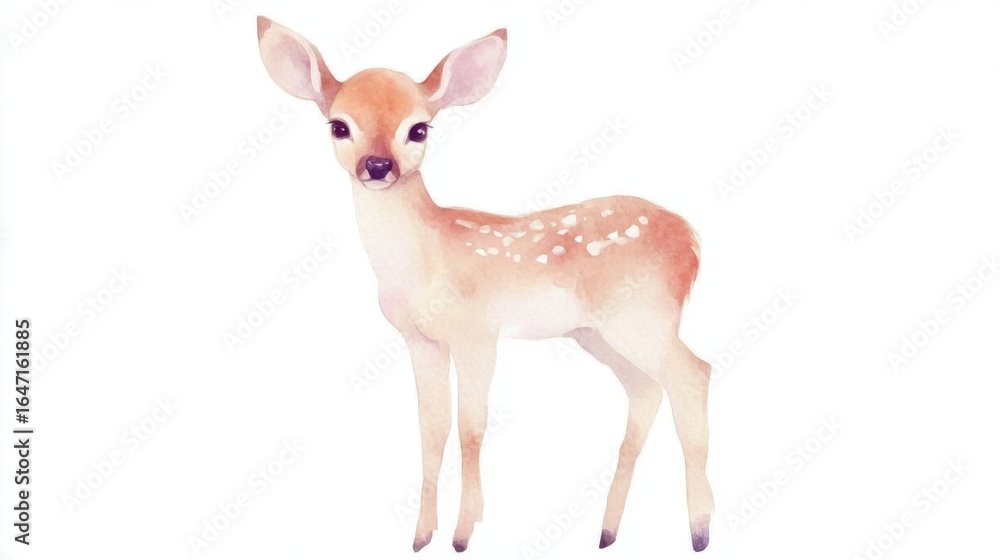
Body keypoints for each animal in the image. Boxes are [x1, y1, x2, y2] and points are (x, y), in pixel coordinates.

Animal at [256, 16, 714, 553]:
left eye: (418, 128)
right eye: (339, 125)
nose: (377, 166)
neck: (424, 260)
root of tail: (692, 240)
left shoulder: (477, 333)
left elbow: (471, 428)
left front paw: (462, 534)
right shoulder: (421, 341)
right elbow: (431, 429)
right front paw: (421, 536)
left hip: (643, 315)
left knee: (694, 374)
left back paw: (700, 531)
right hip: (598, 333)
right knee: (647, 389)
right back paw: (607, 532)